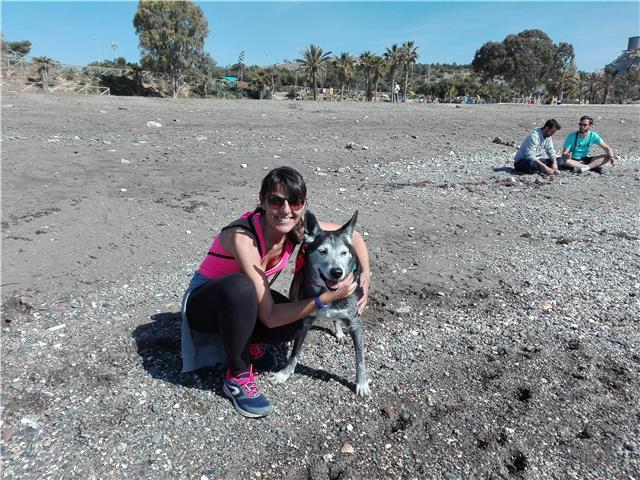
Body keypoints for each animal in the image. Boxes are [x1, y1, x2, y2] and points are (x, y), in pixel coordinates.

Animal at [268, 211, 370, 398]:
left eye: (344, 253)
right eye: (323, 251)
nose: (337, 272)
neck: (326, 293)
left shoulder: (355, 323)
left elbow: (360, 358)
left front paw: (362, 383)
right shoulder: (305, 320)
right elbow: (294, 353)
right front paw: (284, 373)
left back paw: (339, 332)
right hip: (295, 290)